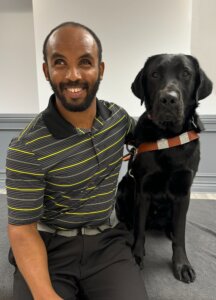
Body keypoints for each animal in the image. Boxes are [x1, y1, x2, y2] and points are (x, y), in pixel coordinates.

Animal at [116, 54, 213, 284]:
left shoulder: (183, 191)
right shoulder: (143, 189)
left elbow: (180, 234)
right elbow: (140, 230)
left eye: (186, 73)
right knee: (131, 219)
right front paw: (137, 256)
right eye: (154, 74)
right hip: (124, 187)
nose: (169, 99)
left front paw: (182, 264)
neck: (168, 137)